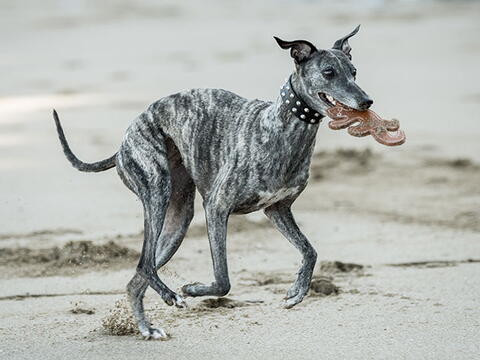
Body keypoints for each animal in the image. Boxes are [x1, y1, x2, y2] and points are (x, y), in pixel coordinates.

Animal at [53, 26, 376, 338]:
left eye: (354, 71)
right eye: (329, 72)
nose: (366, 101)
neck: (279, 128)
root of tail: (122, 145)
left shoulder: (277, 209)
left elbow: (310, 250)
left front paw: (297, 290)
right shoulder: (217, 208)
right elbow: (223, 280)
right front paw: (193, 289)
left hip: (179, 219)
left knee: (138, 276)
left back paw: (147, 328)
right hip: (156, 191)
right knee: (144, 262)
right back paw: (170, 296)